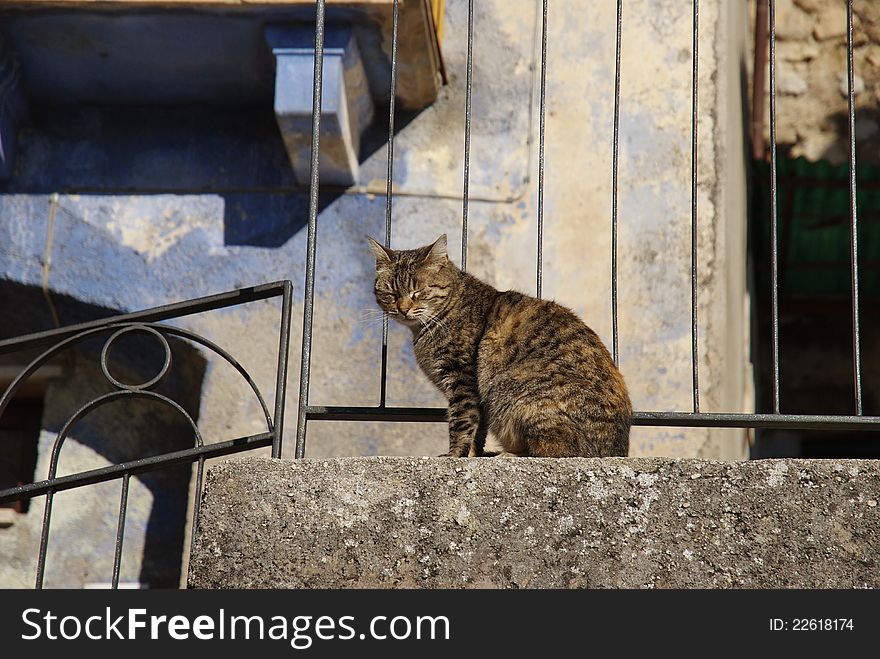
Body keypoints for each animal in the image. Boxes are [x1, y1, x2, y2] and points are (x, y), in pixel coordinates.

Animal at [368, 236, 628, 458]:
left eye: (417, 291)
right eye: (391, 292)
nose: (402, 309)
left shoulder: (462, 379)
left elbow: (461, 421)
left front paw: (454, 456)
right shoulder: (476, 397)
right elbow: (477, 430)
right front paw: (471, 455)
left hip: (518, 392)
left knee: (553, 450)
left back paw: (508, 454)